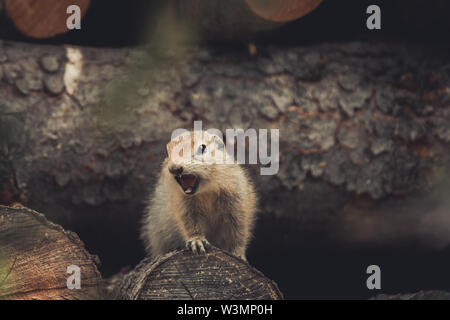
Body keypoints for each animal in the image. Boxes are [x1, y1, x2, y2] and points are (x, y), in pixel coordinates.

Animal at [142, 129, 258, 260]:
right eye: (168, 151)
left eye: (202, 148)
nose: (174, 168)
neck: (206, 191)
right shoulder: (183, 205)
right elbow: (189, 224)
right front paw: (197, 241)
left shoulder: (237, 200)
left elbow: (239, 230)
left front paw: (238, 254)